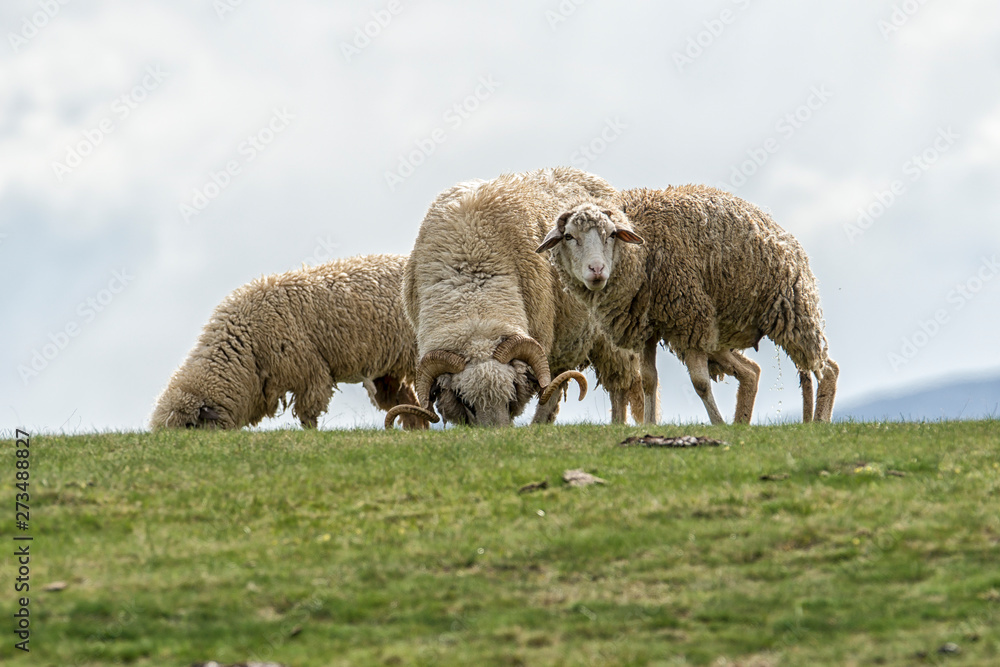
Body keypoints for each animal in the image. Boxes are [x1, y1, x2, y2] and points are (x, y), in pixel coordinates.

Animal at [384, 167, 653, 428]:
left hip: (610, 339)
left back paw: (616, 424)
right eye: (467, 402)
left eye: (510, 395)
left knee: (617, 385)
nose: (498, 432)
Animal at [537, 185, 839, 424]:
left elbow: (701, 383)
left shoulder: (689, 319)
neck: (642, 252)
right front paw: (650, 426)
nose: (597, 270)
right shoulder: (647, 326)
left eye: (611, 234)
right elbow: (649, 381)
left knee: (827, 369)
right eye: (568, 237)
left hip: (794, 311)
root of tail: (778, 228)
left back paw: (819, 422)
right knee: (754, 372)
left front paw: (718, 424)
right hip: (723, 331)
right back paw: (744, 423)